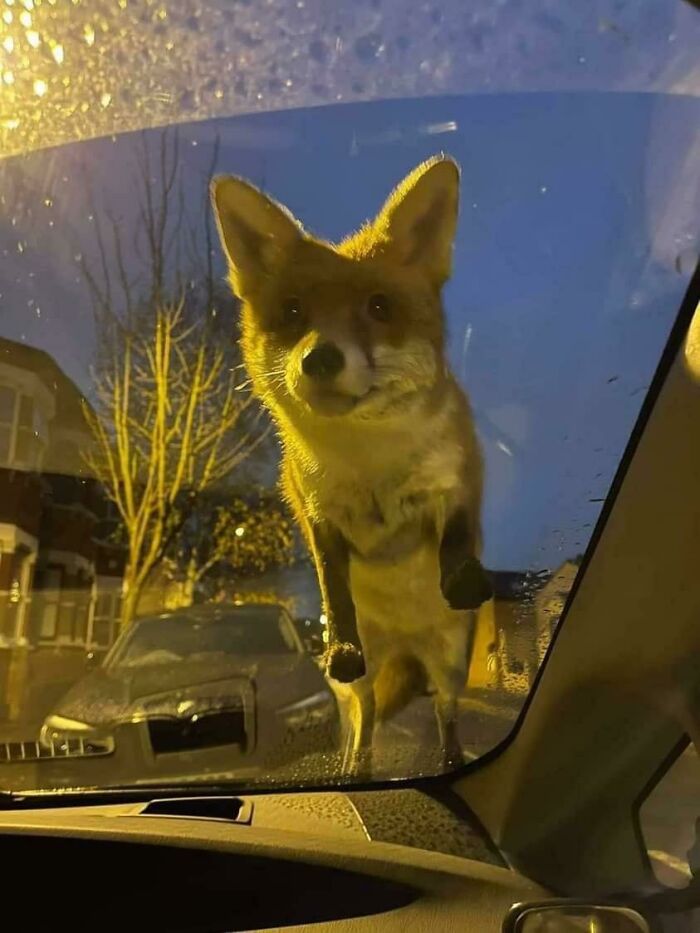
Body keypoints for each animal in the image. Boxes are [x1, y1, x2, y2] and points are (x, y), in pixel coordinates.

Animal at [211, 156, 492, 770]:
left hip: (450, 666)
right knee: (365, 719)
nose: (320, 359)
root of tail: (405, 642)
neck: (369, 463)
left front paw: (461, 576)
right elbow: (333, 593)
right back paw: (354, 768)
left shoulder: (458, 482)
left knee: (445, 714)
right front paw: (339, 643)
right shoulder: (318, 517)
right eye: (293, 312)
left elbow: (458, 537)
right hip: (366, 682)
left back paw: (450, 757)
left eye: (379, 307)